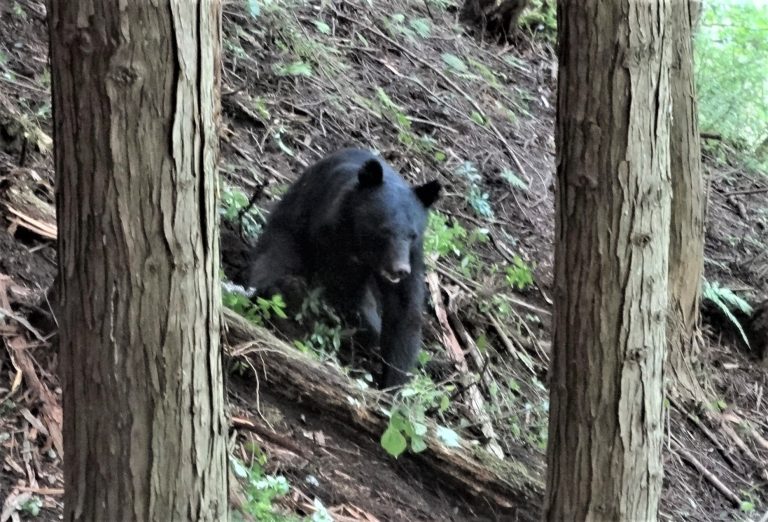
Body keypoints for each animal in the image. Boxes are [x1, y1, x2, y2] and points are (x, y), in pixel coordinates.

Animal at [246, 146, 438, 386]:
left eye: (412, 235)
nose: (399, 269)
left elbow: (404, 309)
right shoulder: (329, 231)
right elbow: (337, 281)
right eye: (385, 230)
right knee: (273, 261)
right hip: (289, 230)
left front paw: (394, 382)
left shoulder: (412, 255)